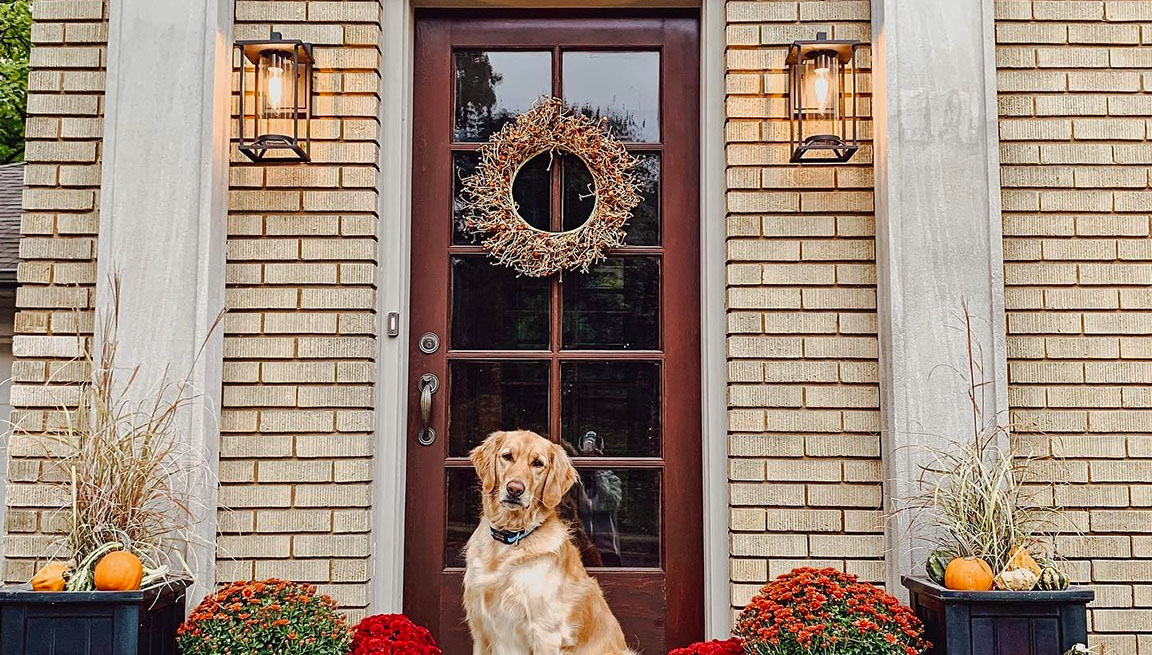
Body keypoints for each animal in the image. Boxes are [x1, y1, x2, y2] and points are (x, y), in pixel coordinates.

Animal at [463, 428, 635, 653]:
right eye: (507, 456)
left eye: (538, 463)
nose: (515, 489)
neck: (510, 538)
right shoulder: (480, 631)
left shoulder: (545, 633)